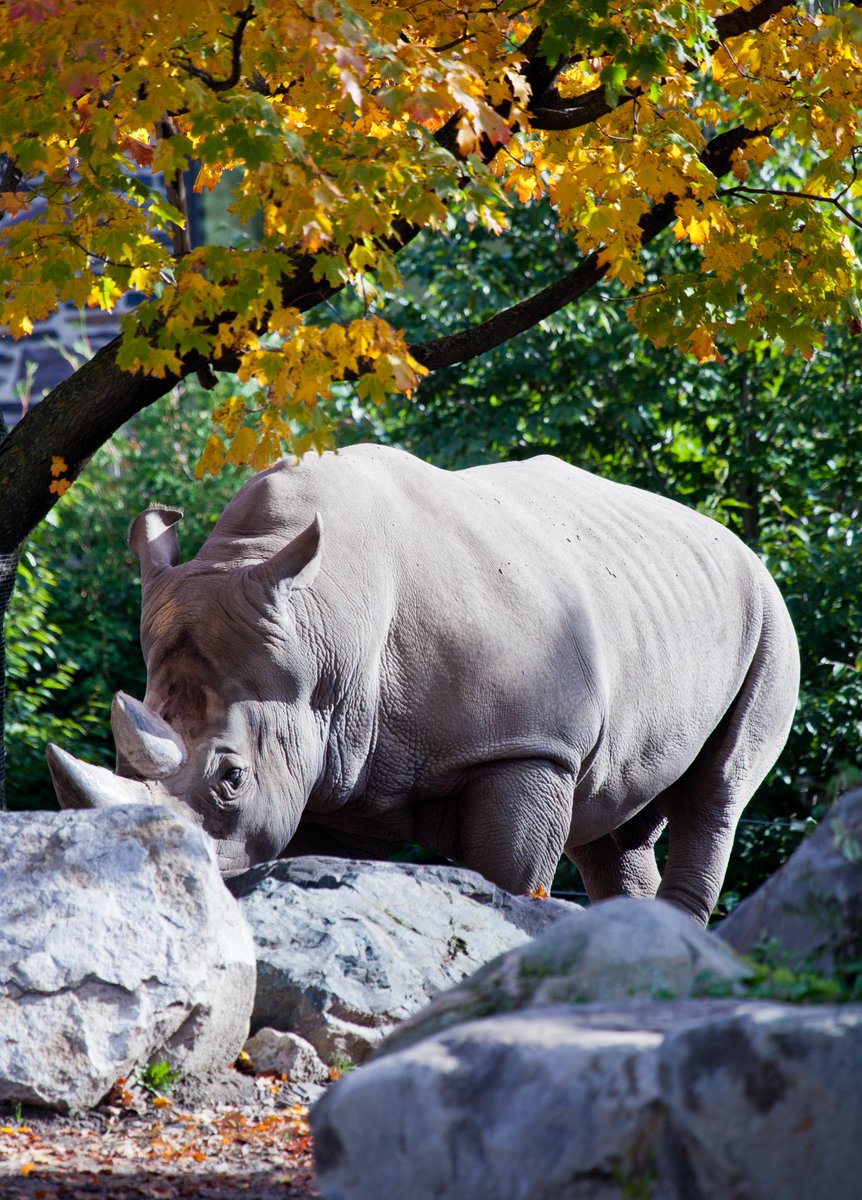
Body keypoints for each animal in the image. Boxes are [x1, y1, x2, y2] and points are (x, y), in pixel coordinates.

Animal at [47, 445, 800, 923]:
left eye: (231, 778)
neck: (326, 628)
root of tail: (731, 539)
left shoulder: (527, 747)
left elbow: (508, 878)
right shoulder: (336, 768)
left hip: (769, 614)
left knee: (718, 791)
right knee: (611, 822)